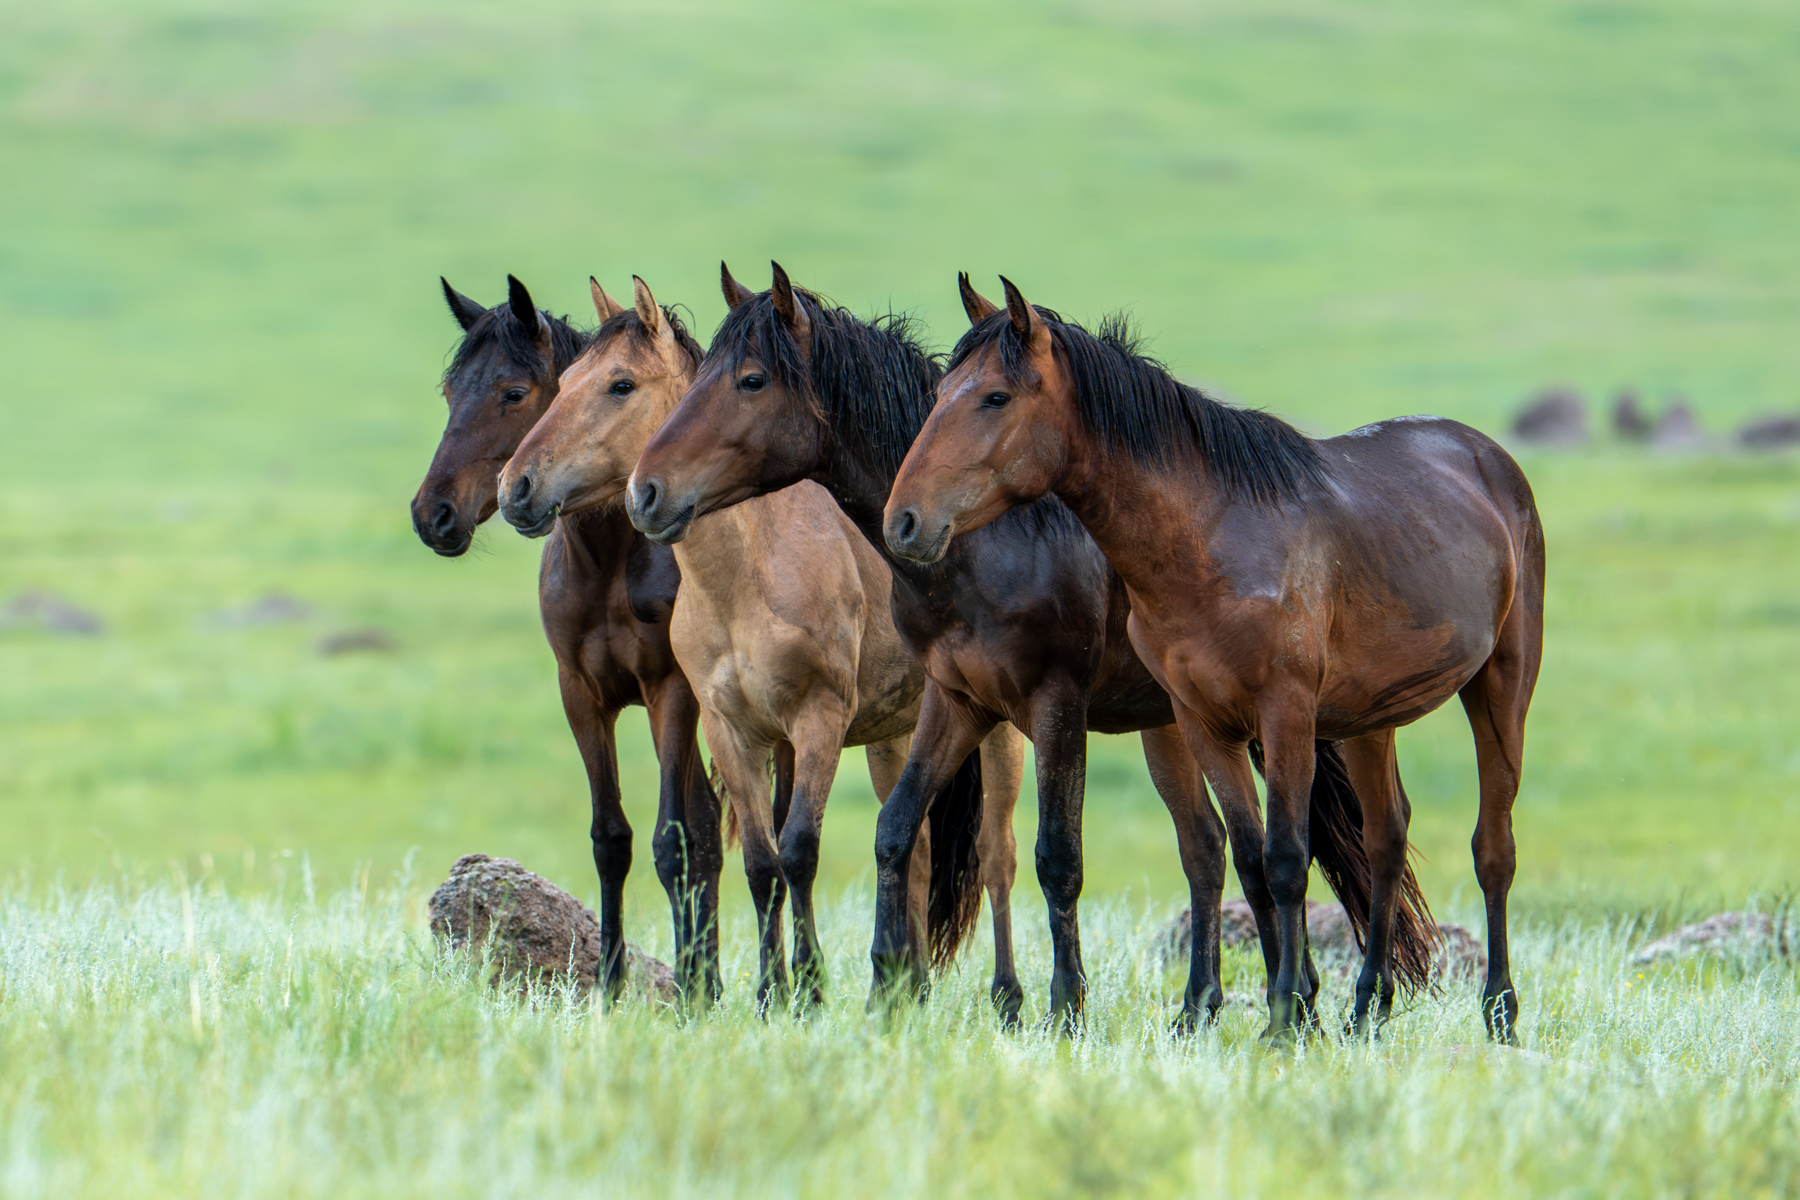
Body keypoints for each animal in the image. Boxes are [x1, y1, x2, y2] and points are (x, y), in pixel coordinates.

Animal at [410, 274, 723, 1005]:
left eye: (514, 392)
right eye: (450, 391)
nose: (432, 514)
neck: (610, 561)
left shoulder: (669, 692)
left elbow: (673, 840)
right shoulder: (581, 694)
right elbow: (611, 838)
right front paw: (608, 986)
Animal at [497, 275, 1016, 1009]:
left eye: (620, 384)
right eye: (562, 381)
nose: (516, 487)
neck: (748, 576)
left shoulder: (816, 721)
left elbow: (799, 851)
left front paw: (809, 989)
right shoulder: (730, 728)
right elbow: (762, 863)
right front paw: (774, 992)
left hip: (998, 733)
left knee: (997, 857)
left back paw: (1009, 1000)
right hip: (896, 735)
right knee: (912, 852)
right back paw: (903, 990)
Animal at [626, 263, 1435, 1029]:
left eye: (751, 379)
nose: (646, 493)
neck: (997, 541)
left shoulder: (1054, 706)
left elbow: (1056, 857)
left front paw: (1065, 1006)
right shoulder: (957, 701)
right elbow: (896, 832)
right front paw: (886, 991)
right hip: (1176, 725)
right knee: (1209, 847)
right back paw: (1218, 1005)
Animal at [885, 276, 1544, 1043]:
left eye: (995, 397)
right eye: (939, 392)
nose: (904, 521)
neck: (1210, 538)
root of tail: (1487, 457)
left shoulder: (1284, 716)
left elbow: (1286, 860)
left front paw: (1287, 1020)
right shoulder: (1203, 722)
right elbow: (1251, 861)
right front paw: (1292, 1011)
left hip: (1501, 689)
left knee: (1494, 848)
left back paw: (1500, 1010)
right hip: (1367, 720)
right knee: (1385, 840)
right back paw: (1367, 1007)